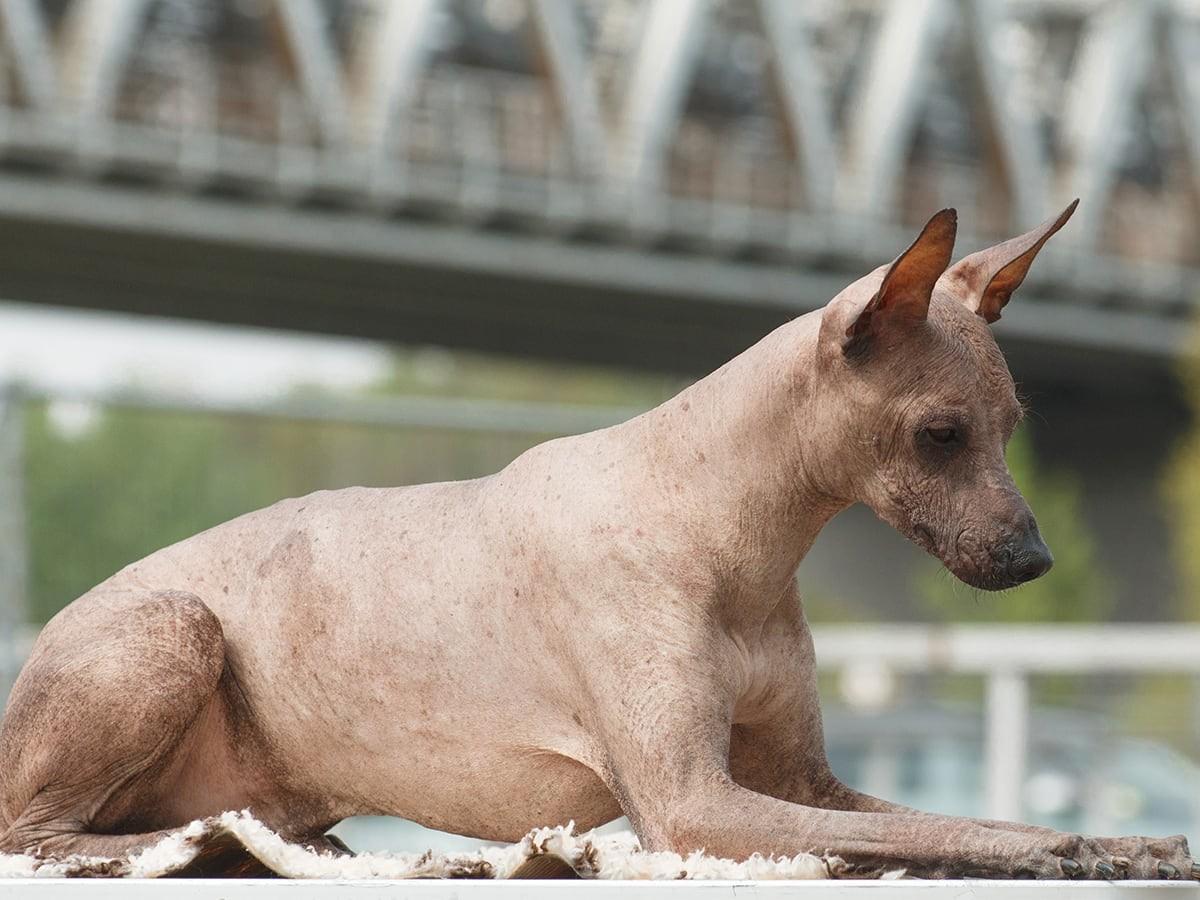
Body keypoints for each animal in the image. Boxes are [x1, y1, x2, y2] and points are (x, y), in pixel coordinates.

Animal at [0, 202, 1190, 883]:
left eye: (1014, 428)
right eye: (941, 434)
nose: (1036, 564)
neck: (733, 539)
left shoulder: (806, 786)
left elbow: (946, 815)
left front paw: (1128, 840)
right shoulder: (693, 808)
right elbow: (955, 832)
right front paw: (1063, 844)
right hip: (173, 626)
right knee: (37, 830)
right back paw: (187, 847)